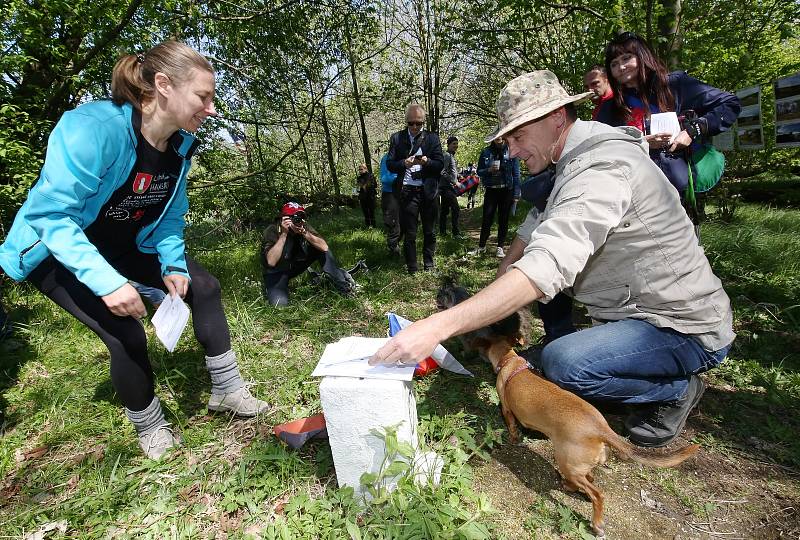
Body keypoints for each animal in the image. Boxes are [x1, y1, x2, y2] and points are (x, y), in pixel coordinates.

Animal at [438, 282, 700, 536]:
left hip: (568, 463)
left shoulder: (507, 410)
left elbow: (511, 426)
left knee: (597, 493)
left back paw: (596, 522)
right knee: (590, 478)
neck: (511, 361)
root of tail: (601, 429)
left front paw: (514, 439)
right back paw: (570, 488)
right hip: (579, 465)